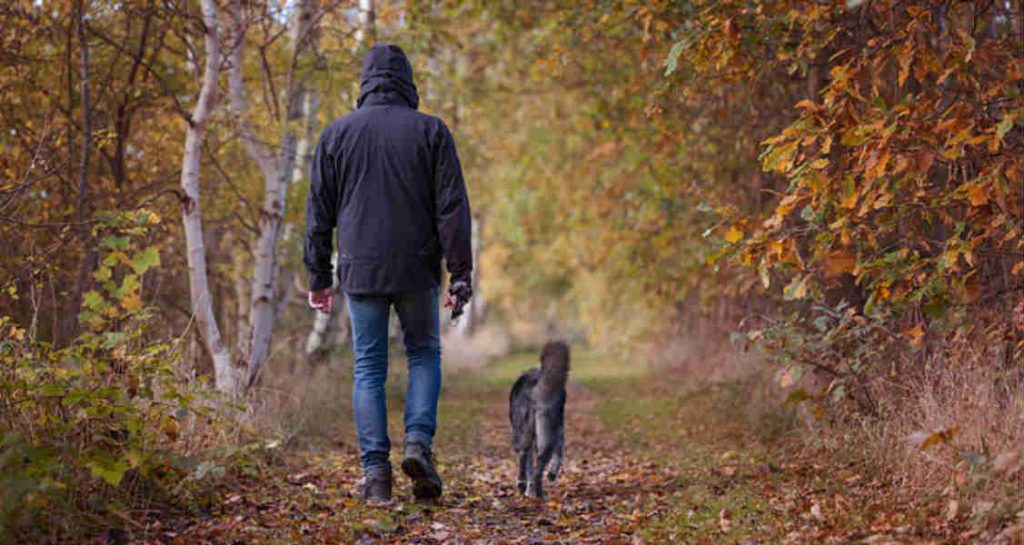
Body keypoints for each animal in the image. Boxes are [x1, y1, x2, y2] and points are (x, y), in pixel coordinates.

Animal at [509, 342, 569, 499]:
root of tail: (536, 383)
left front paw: (528, 490)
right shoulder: (558, 432)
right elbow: (560, 452)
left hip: (528, 432)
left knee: (524, 456)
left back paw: (524, 485)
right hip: (546, 434)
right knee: (538, 466)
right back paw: (540, 494)